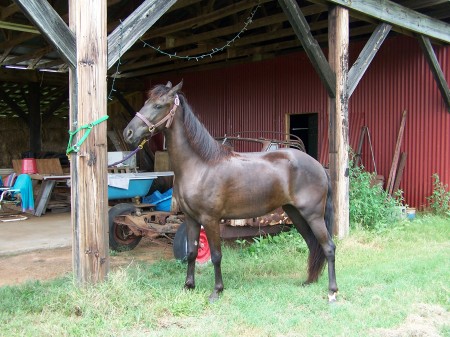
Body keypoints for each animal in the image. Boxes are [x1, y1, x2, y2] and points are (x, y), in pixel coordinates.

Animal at [123, 80, 338, 300]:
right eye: (146, 102)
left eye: (158, 106)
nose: (128, 133)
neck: (200, 165)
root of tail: (319, 166)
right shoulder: (191, 219)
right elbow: (191, 252)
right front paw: (188, 286)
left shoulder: (210, 220)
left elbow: (216, 255)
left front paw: (216, 291)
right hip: (295, 214)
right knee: (312, 243)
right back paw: (309, 281)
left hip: (313, 215)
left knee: (328, 247)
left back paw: (332, 291)